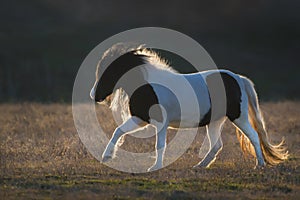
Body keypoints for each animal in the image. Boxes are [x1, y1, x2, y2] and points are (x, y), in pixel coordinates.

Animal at [89, 43, 288, 171]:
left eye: (110, 71)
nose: (94, 95)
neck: (148, 85)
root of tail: (238, 78)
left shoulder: (160, 122)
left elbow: (159, 144)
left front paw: (154, 167)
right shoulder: (141, 119)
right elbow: (118, 131)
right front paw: (107, 156)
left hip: (238, 117)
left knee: (253, 135)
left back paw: (259, 165)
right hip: (215, 122)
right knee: (217, 145)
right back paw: (200, 166)